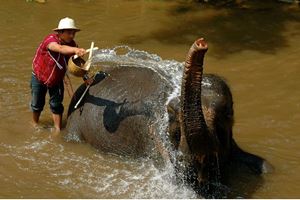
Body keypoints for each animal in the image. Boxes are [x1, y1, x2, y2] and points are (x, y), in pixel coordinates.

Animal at [66, 38, 272, 198]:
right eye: (172, 114)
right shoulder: (155, 140)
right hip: (75, 124)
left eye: (227, 112)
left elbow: (263, 164)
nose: (201, 44)